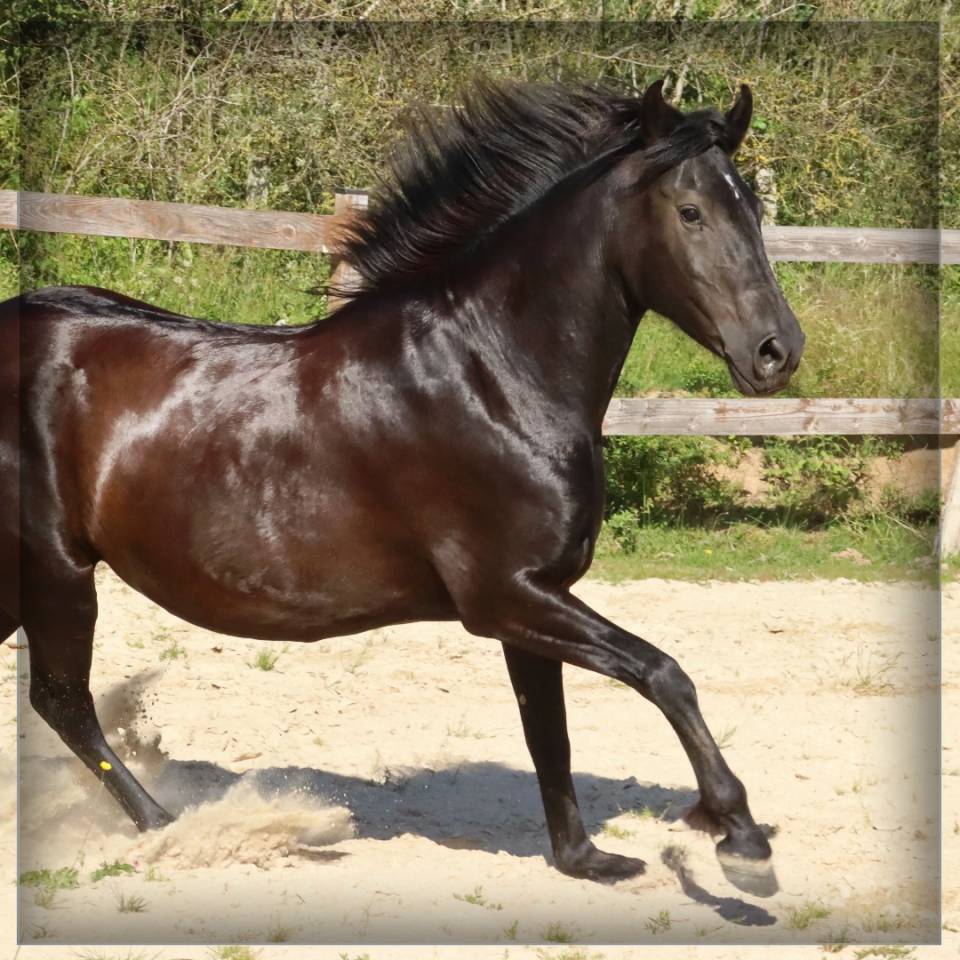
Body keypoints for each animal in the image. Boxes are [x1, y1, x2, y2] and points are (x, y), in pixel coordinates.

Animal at [0, 78, 803, 895]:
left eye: (753, 207)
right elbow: (663, 673)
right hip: (55, 570)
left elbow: (550, 732)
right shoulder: (502, 597)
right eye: (690, 210)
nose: (777, 351)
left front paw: (587, 859)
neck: (491, 376)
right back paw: (173, 827)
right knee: (63, 702)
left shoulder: (534, 598)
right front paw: (740, 839)